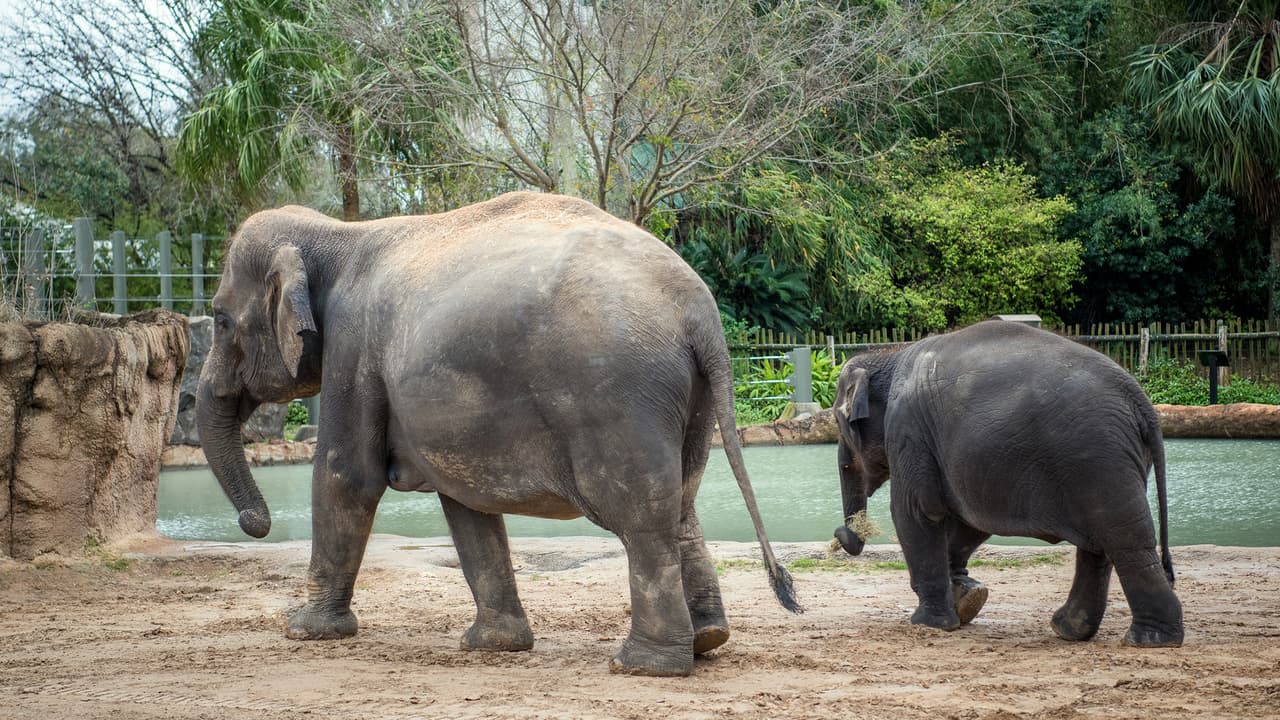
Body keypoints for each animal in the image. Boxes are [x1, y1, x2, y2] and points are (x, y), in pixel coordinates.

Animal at [196, 192, 800, 677]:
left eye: (220, 320)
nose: (255, 523)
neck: (336, 234)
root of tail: (699, 313)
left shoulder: (353, 350)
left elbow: (347, 477)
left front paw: (304, 630)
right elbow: (466, 505)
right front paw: (493, 646)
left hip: (619, 397)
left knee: (641, 518)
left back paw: (642, 666)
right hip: (688, 401)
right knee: (681, 505)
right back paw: (707, 642)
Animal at [830, 320, 1183, 647]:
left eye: (838, 421)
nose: (840, 534)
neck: (888, 355)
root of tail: (1141, 400)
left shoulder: (908, 431)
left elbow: (915, 513)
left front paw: (929, 624)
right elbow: (970, 521)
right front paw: (968, 599)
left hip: (1098, 456)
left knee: (1125, 542)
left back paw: (1148, 639)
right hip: (1103, 462)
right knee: (1100, 546)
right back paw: (1069, 630)